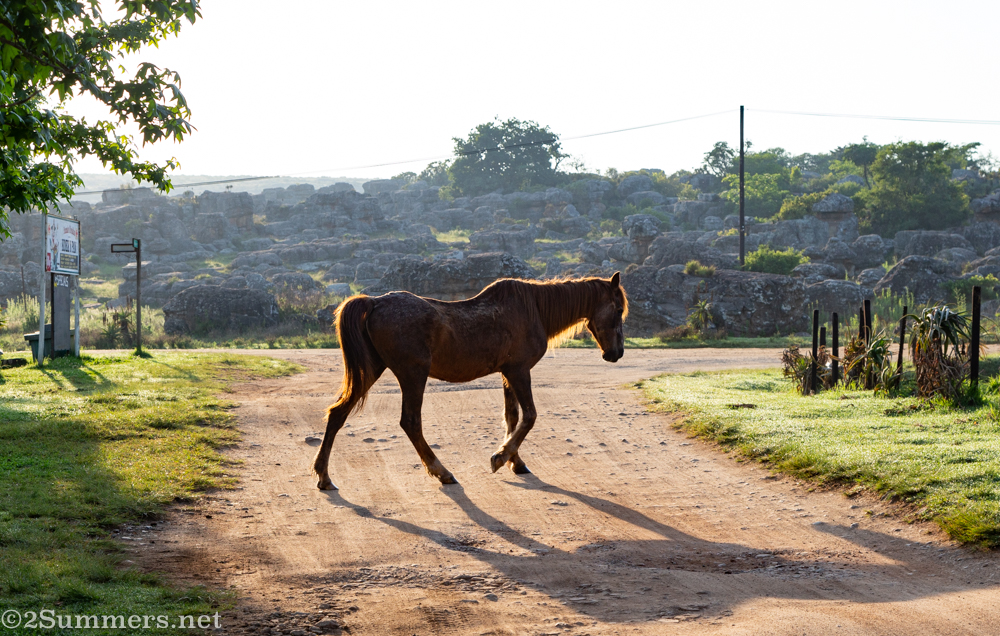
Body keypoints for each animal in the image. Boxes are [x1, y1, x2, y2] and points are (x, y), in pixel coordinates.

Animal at [312, 272, 628, 490]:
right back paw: (441, 471)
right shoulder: (519, 372)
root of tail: (375, 302)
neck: (533, 310)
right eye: (618, 310)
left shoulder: (507, 374)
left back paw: (324, 476)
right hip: (412, 374)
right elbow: (529, 417)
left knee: (338, 414)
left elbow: (512, 417)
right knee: (410, 422)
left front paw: (514, 460)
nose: (616, 353)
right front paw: (500, 457)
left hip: (373, 370)